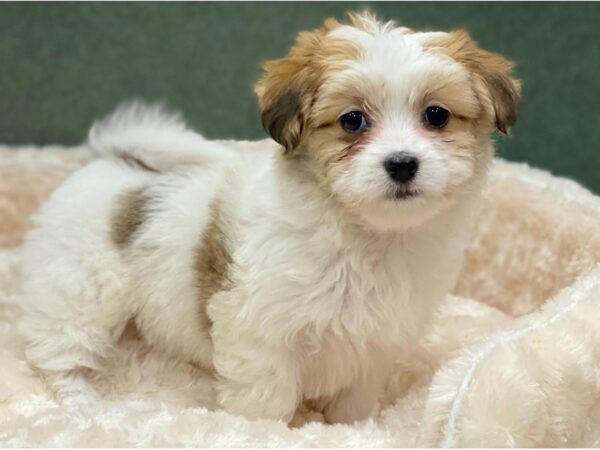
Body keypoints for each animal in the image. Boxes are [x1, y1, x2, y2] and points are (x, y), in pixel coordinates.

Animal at [18, 12, 520, 424]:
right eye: (352, 121)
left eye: (436, 115)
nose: (401, 163)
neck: (367, 237)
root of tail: (111, 157)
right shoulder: (260, 336)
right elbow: (266, 403)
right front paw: (267, 434)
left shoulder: (373, 346)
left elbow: (353, 401)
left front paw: (350, 429)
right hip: (83, 287)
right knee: (57, 351)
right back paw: (81, 403)